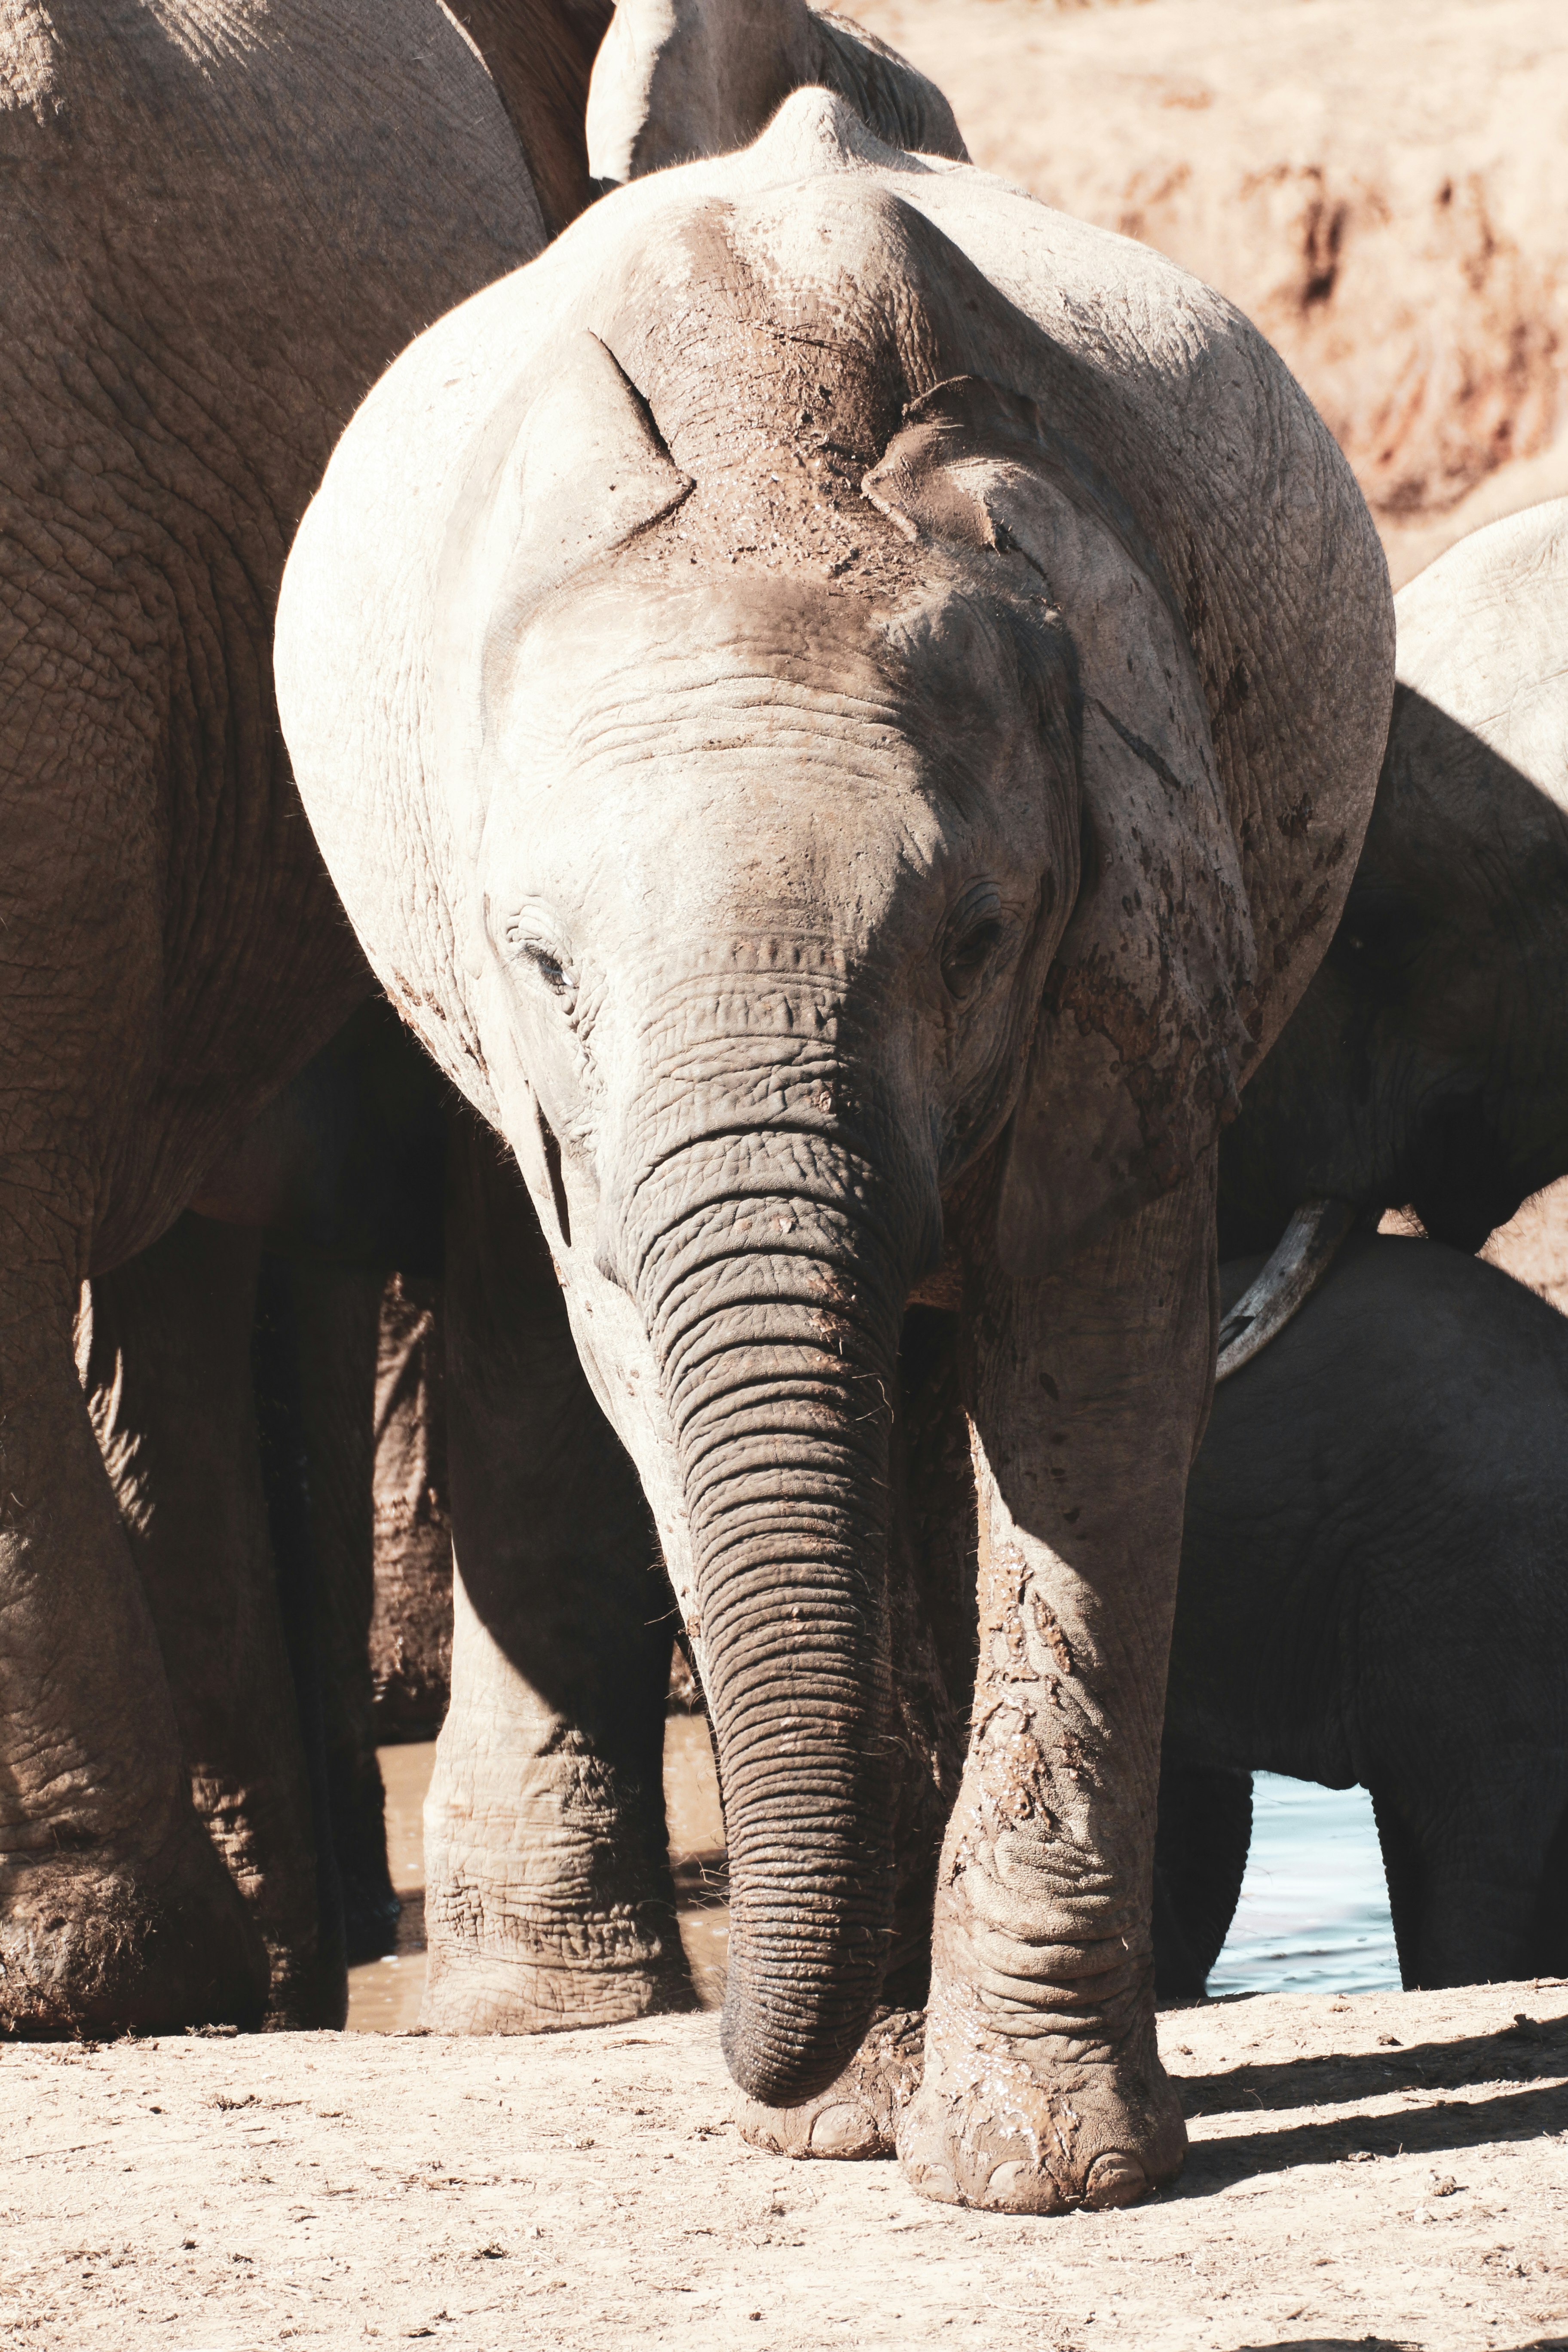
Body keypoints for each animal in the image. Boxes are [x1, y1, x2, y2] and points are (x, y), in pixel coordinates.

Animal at [276, 92, 1391, 2211]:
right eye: (541, 964)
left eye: (973, 934)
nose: (743, 2055)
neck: (769, 454)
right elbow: (652, 1358)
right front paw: (850, 2121)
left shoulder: (1131, 890)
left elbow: (1092, 1369)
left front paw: (1034, 2172)